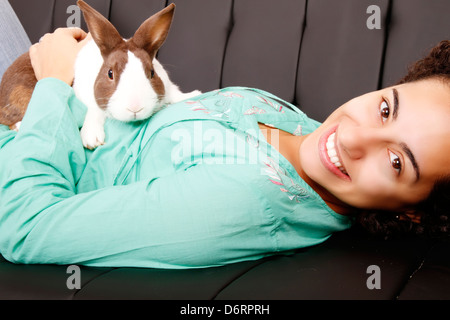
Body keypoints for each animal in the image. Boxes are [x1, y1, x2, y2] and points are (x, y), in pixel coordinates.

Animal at [0, 0, 200, 149]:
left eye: (151, 73)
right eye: (110, 73)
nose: (135, 108)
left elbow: (174, 93)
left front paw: (192, 95)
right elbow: (93, 110)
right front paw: (92, 139)